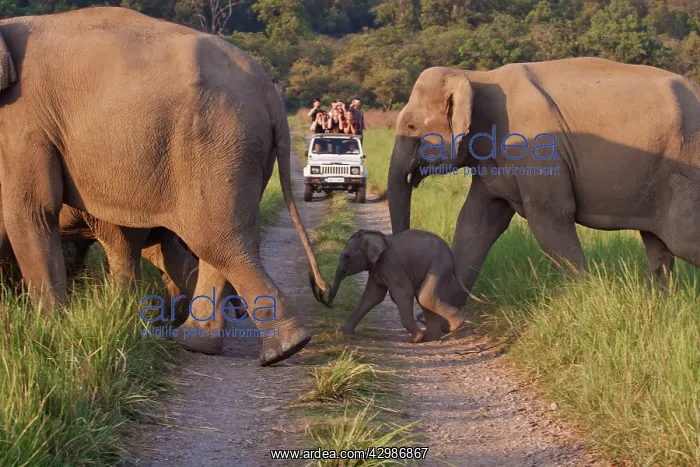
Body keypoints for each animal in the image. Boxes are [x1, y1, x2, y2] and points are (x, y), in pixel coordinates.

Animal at [0, 7, 330, 366]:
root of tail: (270, 92)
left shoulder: (22, 123)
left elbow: (33, 209)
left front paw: (47, 332)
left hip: (216, 144)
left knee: (216, 241)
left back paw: (282, 348)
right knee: (192, 243)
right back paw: (192, 339)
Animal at [326, 229, 470, 342]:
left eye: (347, 257)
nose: (329, 304)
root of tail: (451, 255)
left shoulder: (391, 263)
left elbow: (403, 293)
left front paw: (417, 338)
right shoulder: (376, 268)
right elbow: (372, 296)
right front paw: (344, 333)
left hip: (440, 265)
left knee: (424, 297)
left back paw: (454, 326)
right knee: (425, 297)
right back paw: (431, 338)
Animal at [386, 59, 700, 313]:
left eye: (412, 127)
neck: (476, 77)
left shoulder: (537, 151)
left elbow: (549, 217)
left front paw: (584, 304)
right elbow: (476, 222)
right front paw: (442, 322)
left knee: (681, 239)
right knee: (657, 244)